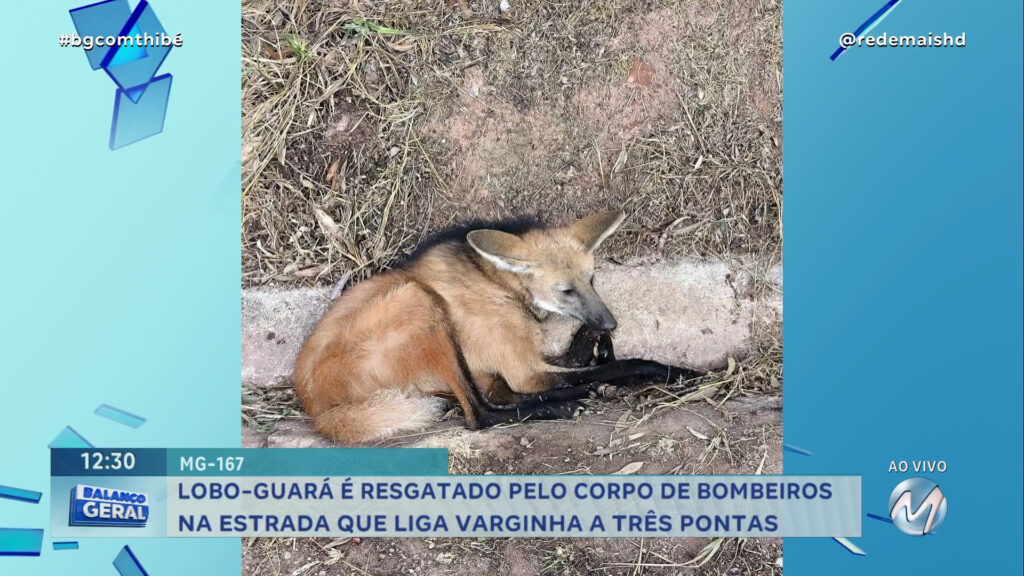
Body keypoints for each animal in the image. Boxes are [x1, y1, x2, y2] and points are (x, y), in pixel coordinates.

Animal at [292, 208, 700, 440]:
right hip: (420, 303)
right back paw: (562, 406)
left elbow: (581, 355)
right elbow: (626, 365)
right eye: (566, 290)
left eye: (592, 280)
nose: (612, 322)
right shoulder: (524, 368)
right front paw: (678, 372)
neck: (499, 284)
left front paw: (599, 345)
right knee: (480, 415)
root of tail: (316, 408)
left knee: (494, 397)